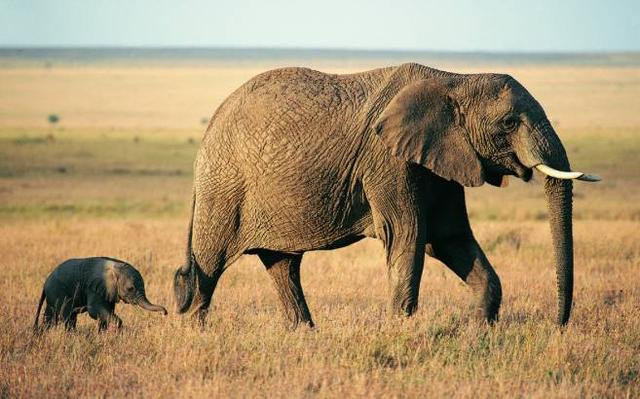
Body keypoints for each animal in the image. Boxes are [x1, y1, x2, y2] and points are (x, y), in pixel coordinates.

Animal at [34, 258, 168, 332]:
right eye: (130, 289)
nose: (165, 313)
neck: (116, 267)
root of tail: (45, 282)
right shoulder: (94, 288)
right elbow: (94, 311)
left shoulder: (108, 291)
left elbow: (107, 311)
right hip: (58, 291)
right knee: (67, 316)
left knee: (51, 316)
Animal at [172, 63, 596, 328]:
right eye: (508, 123)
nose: (558, 325)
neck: (454, 79)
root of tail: (212, 122)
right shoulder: (388, 161)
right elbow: (409, 238)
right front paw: (400, 332)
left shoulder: (441, 161)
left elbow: (450, 239)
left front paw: (479, 334)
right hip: (223, 188)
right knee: (209, 264)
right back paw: (195, 334)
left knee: (283, 266)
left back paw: (305, 336)